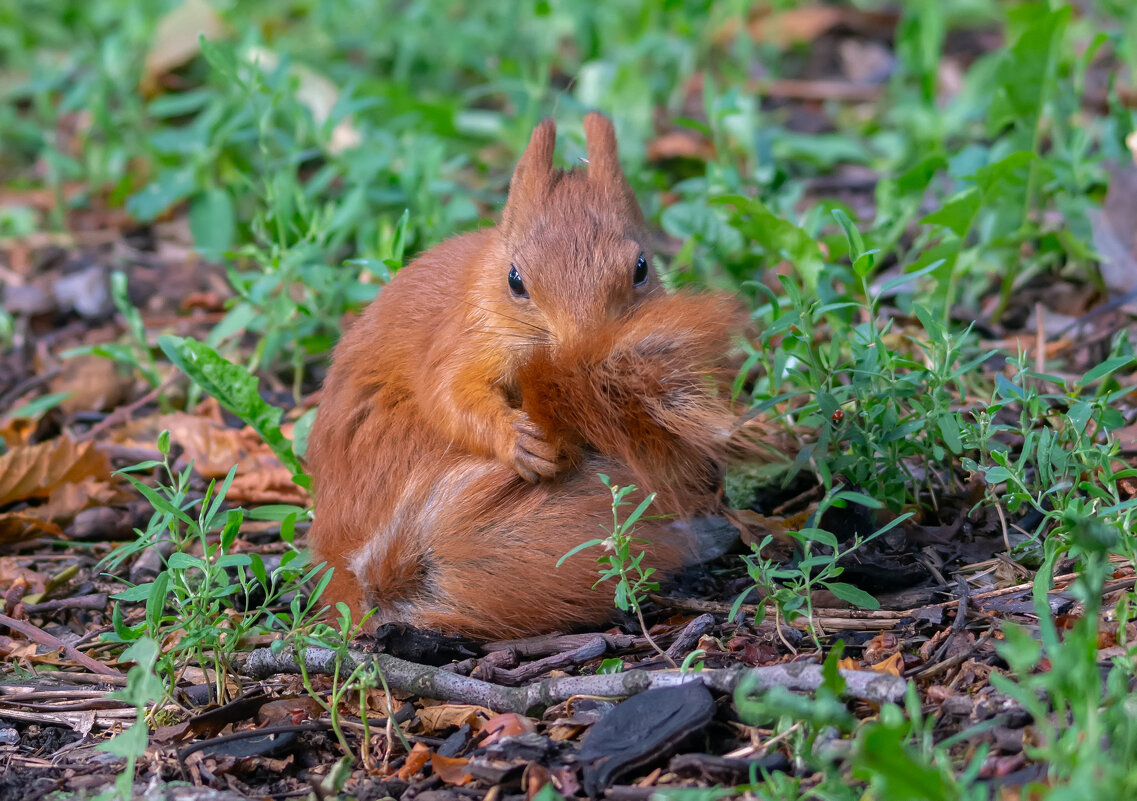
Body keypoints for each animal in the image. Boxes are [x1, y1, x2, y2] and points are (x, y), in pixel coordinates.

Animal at [304, 110, 745, 637]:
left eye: (642, 268)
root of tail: (340, 561)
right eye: (515, 280)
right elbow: (450, 395)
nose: (583, 359)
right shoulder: (461, 340)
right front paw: (521, 442)